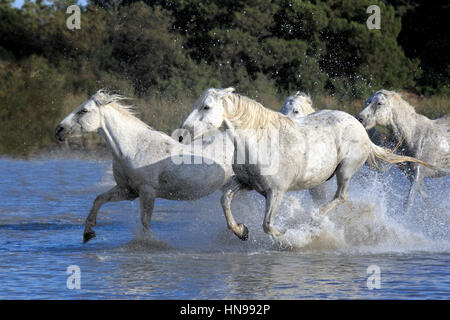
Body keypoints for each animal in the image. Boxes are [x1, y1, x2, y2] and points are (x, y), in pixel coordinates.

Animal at [54, 90, 234, 242]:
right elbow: (99, 199)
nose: (58, 130)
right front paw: (88, 233)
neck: (134, 147)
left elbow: (145, 222)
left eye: (83, 111)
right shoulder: (128, 191)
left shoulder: (147, 191)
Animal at [179, 87, 432, 240]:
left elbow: (268, 225)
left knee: (341, 196)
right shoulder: (247, 184)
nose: (181, 136)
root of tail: (359, 126)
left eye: (206, 107)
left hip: (345, 170)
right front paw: (241, 231)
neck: (259, 141)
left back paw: (314, 221)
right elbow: (225, 200)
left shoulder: (276, 192)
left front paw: (290, 236)